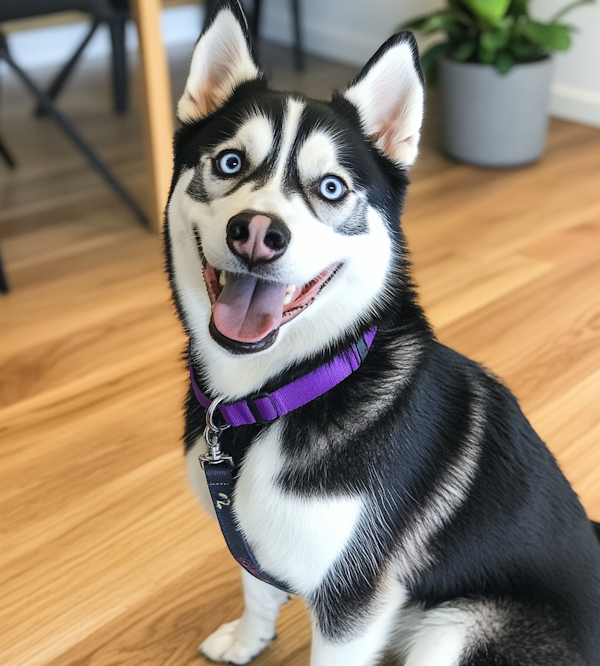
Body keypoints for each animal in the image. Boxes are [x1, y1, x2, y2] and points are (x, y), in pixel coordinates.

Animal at [163, 2, 600, 660]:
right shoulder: (252, 535)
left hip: (455, 629)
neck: (276, 396)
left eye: (332, 188)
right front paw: (247, 640)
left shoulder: (352, 602)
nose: (258, 232)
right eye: (230, 162)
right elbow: (257, 590)